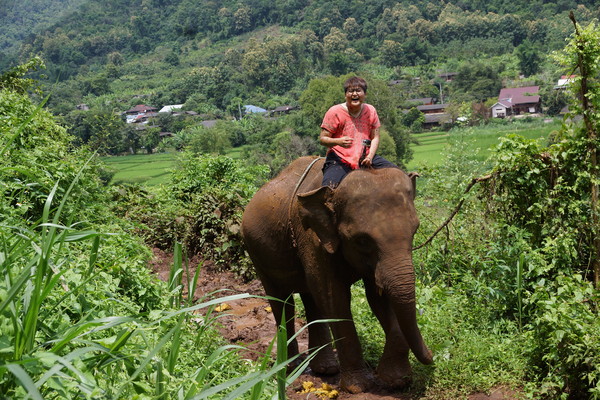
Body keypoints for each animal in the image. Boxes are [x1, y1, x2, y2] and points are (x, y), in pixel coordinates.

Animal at [239, 156, 432, 394]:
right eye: (362, 240)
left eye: (415, 231)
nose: (432, 358)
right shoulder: (313, 237)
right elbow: (334, 297)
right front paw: (358, 387)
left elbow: (376, 295)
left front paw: (396, 381)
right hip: (255, 251)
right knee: (282, 302)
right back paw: (290, 367)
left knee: (311, 298)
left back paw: (325, 369)